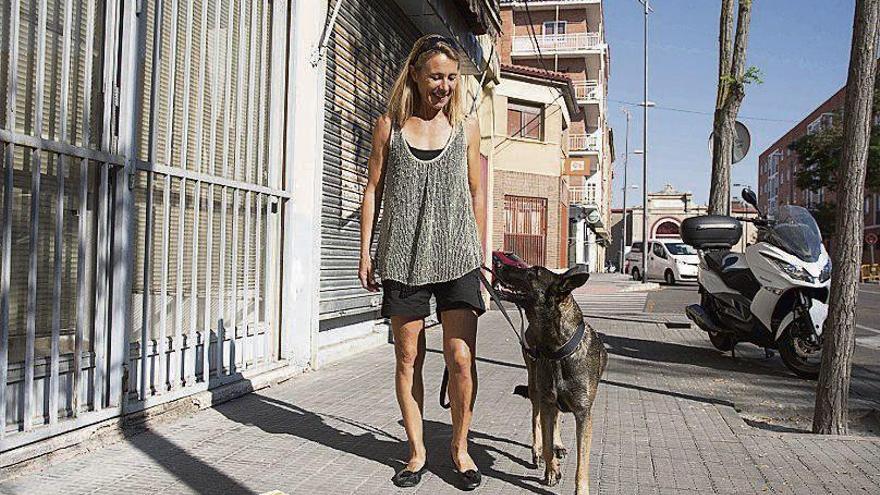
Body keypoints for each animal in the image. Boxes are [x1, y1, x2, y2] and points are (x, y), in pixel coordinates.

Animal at [492, 256, 608, 495]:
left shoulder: (583, 415)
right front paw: (551, 470)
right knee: (536, 419)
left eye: (532, 273)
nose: (497, 262)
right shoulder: (546, 401)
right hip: (535, 387)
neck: (559, 350)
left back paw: (559, 444)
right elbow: (545, 441)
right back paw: (537, 451)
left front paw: (580, 489)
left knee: (556, 419)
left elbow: (582, 462)